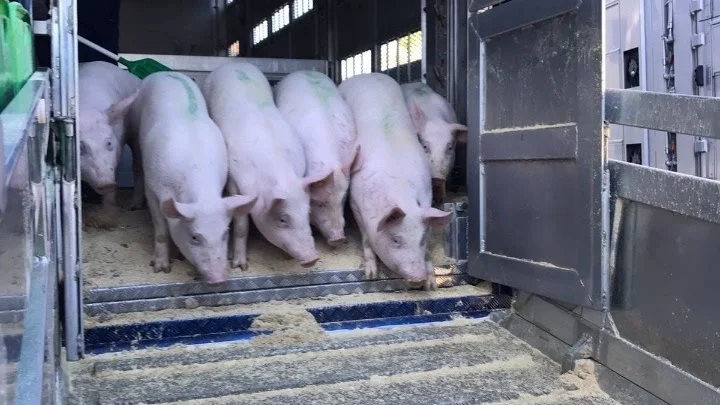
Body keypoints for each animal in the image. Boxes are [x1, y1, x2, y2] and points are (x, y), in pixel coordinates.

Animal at [78, 61, 144, 226]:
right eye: (81, 147)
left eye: (108, 143)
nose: (107, 183)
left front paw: (108, 215)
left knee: (137, 165)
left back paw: (133, 206)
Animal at [128, 72, 258, 280]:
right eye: (195, 237)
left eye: (225, 234)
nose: (218, 279)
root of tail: (165, 73)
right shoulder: (152, 188)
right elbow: (160, 229)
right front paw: (161, 269)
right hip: (134, 129)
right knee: (137, 165)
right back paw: (134, 206)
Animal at [201, 62, 328, 268]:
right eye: (283, 219)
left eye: (307, 213)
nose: (312, 258)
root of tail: (234, 63)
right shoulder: (234, 181)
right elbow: (241, 224)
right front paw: (240, 266)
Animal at [338, 72, 450, 288]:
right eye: (396, 240)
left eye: (422, 240)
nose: (417, 277)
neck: (400, 188)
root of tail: (367, 74)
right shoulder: (355, 203)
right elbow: (366, 239)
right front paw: (371, 276)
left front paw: (431, 284)